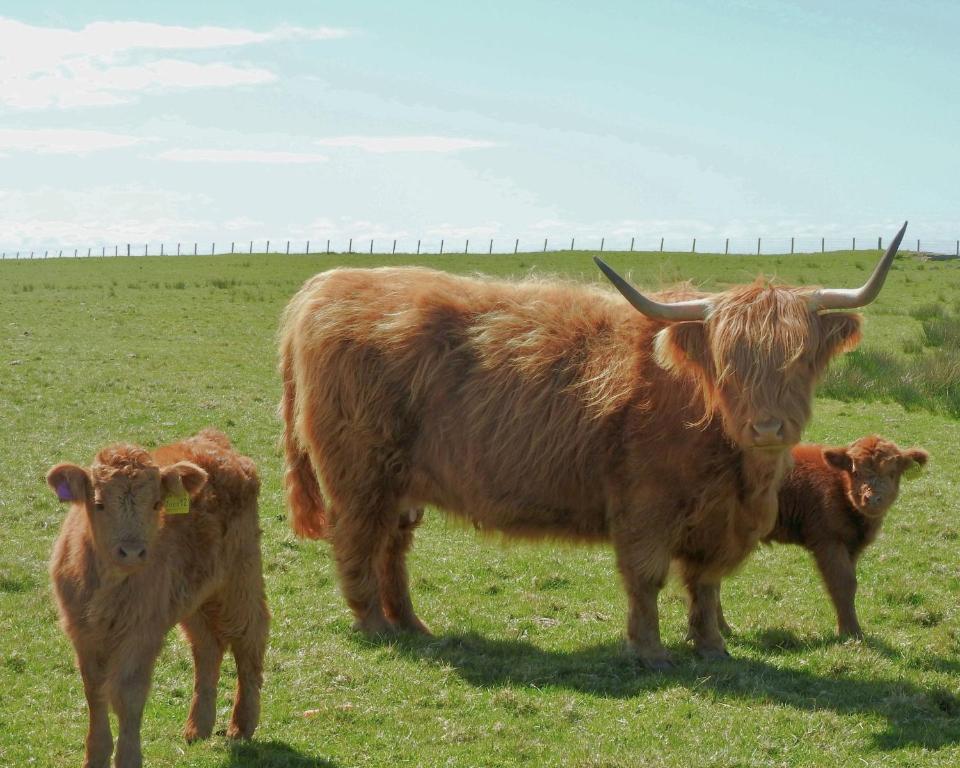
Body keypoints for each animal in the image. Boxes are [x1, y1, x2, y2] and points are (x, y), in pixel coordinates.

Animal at [47, 429, 269, 768]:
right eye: (98, 503)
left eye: (155, 504)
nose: (132, 551)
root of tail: (213, 440)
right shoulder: (83, 633)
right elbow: (95, 691)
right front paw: (95, 756)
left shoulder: (143, 633)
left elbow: (128, 694)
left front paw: (128, 757)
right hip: (194, 598)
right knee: (207, 647)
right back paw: (198, 727)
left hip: (240, 580)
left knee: (249, 641)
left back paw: (241, 725)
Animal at [279, 223, 907, 669]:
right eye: (728, 363)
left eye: (799, 359)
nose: (769, 428)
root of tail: (323, 288)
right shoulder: (645, 506)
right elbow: (647, 578)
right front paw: (650, 653)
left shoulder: (718, 522)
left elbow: (704, 586)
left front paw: (712, 648)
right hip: (361, 476)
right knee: (358, 543)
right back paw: (376, 627)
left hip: (401, 484)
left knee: (392, 549)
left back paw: (413, 626)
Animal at [716, 435, 928, 640]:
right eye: (856, 472)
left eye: (892, 473)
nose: (873, 499)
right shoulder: (829, 540)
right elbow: (843, 583)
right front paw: (851, 632)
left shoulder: (851, 546)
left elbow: (850, 583)